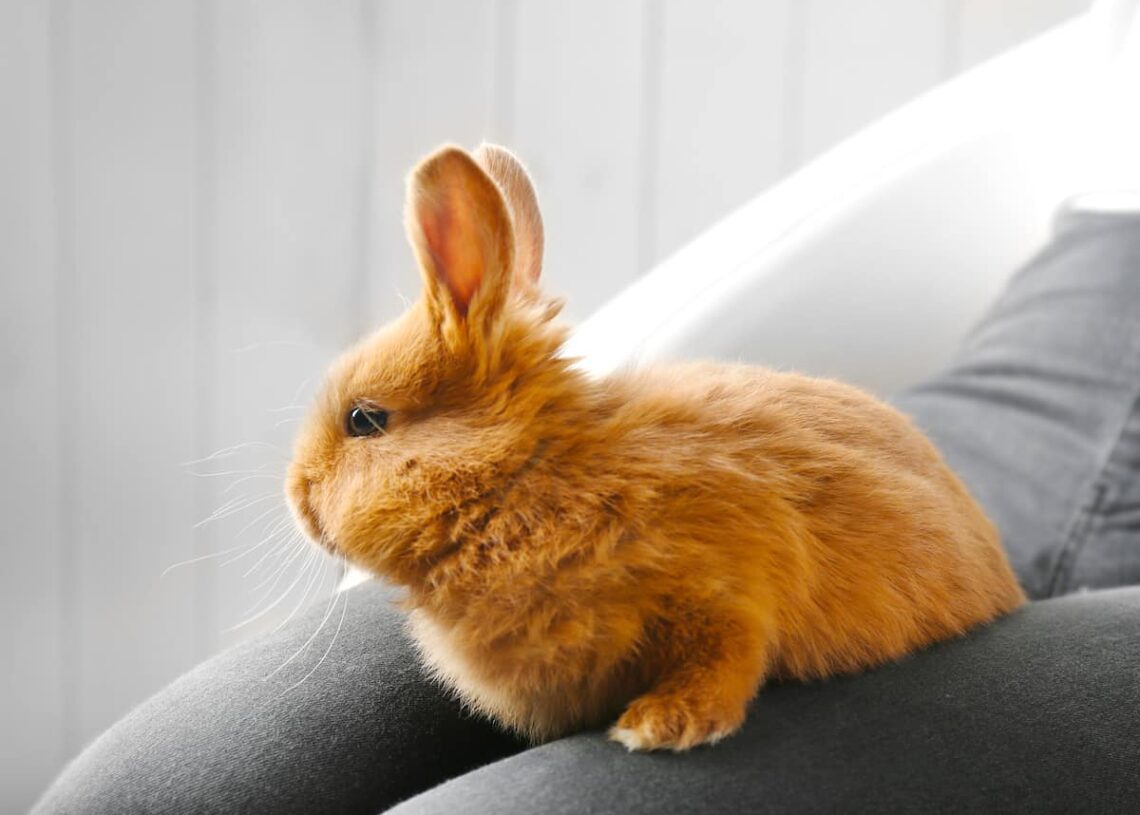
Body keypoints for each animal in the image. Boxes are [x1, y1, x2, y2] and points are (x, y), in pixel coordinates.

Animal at [286, 143, 1026, 752]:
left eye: (365, 419)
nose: (296, 496)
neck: (529, 475)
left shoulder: (723, 591)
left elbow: (728, 657)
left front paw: (662, 726)